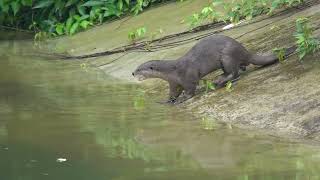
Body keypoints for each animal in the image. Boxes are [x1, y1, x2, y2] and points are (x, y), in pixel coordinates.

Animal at [132, 34, 296, 104]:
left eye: (139, 68)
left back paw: (219, 80)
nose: (132, 73)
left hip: (226, 56)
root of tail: (243, 50)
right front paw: (167, 101)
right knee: (241, 68)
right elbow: (173, 93)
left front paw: (183, 98)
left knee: (233, 73)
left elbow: (190, 89)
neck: (173, 71)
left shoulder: (187, 76)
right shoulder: (174, 82)